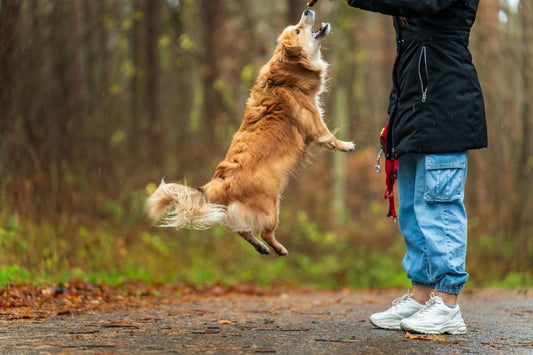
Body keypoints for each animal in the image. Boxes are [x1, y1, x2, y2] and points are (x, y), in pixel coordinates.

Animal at [145, 10, 354, 256]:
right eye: (297, 30)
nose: (307, 10)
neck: (284, 78)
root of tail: (216, 185)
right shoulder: (314, 121)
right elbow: (329, 137)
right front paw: (346, 145)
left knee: (242, 230)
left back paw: (261, 248)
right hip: (272, 208)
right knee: (264, 231)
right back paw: (278, 248)